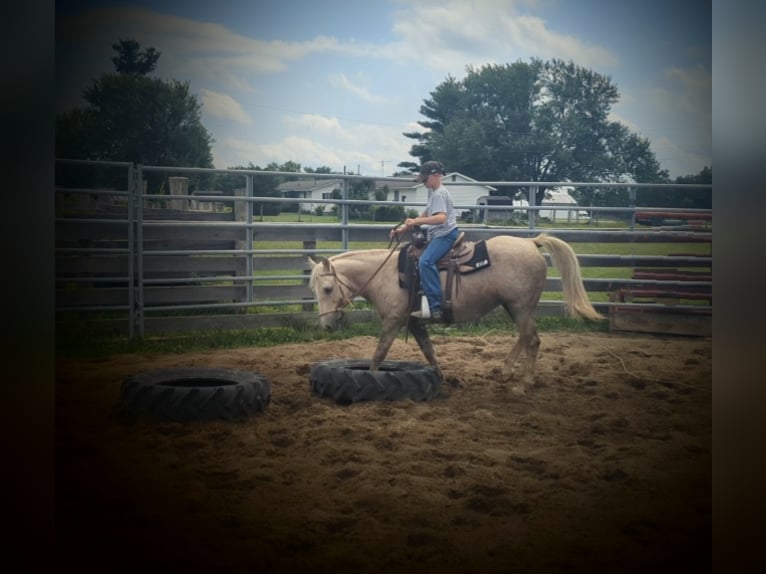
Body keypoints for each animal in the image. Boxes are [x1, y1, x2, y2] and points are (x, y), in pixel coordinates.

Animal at [310, 233, 608, 392]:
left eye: (327, 288)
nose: (326, 326)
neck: (387, 275)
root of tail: (530, 242)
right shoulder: (414, 322)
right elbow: (429, 351)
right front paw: (441, 378)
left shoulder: (393, 321)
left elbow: (378, 355)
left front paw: (371, 381)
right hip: (514, 306)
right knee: (526, 338)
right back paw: (506, 371)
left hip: (521, 306)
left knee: (532, 340)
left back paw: (522, 383)